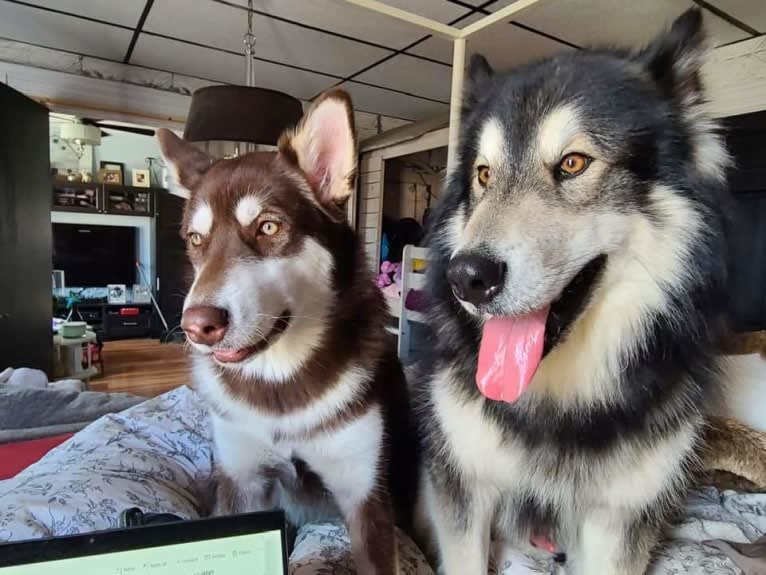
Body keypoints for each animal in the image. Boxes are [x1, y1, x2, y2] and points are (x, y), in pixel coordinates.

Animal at [158, 91, 416, 575]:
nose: (198, 326)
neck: (280, 383)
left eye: (268, 227)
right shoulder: (241, 484)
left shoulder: (365, 496)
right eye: (196, 239)